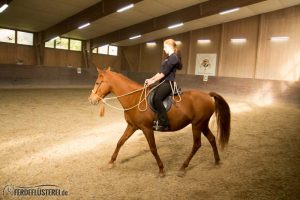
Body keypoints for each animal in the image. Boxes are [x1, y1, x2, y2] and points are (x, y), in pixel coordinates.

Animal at [88, 67, 231, 177]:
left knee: (197, 144)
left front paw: (161, 169)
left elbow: (153, 148)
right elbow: (120, 142)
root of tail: (207, 95)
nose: (91, 100)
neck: (135, 99)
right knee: (212, 139)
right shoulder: (132, 126)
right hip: (203, 124)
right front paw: (111, 162)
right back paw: (217, 160)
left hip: (197, 125)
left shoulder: (147, 128)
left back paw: (183, 168)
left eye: (97, 82)